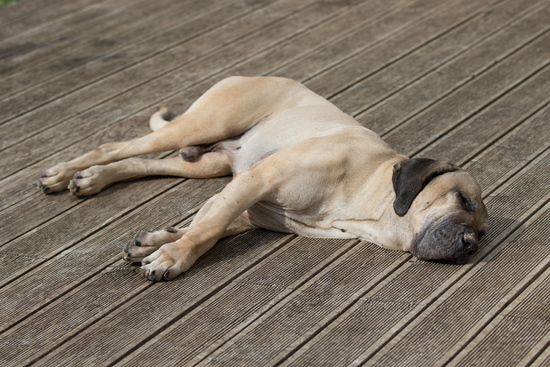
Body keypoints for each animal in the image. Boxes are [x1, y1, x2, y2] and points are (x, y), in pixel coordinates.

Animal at [38, 75, 490, 282]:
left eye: (484, 233)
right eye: (462, 200)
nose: (470, 244)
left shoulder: (248, 199)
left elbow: (208, 221)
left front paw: (157, 242)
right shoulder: (258, 181)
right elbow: (208, 229)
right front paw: (174, 255)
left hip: (205, 162)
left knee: (139, 162)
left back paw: (93, 178)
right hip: (203, 124)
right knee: (114, 146)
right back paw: (65, 173)